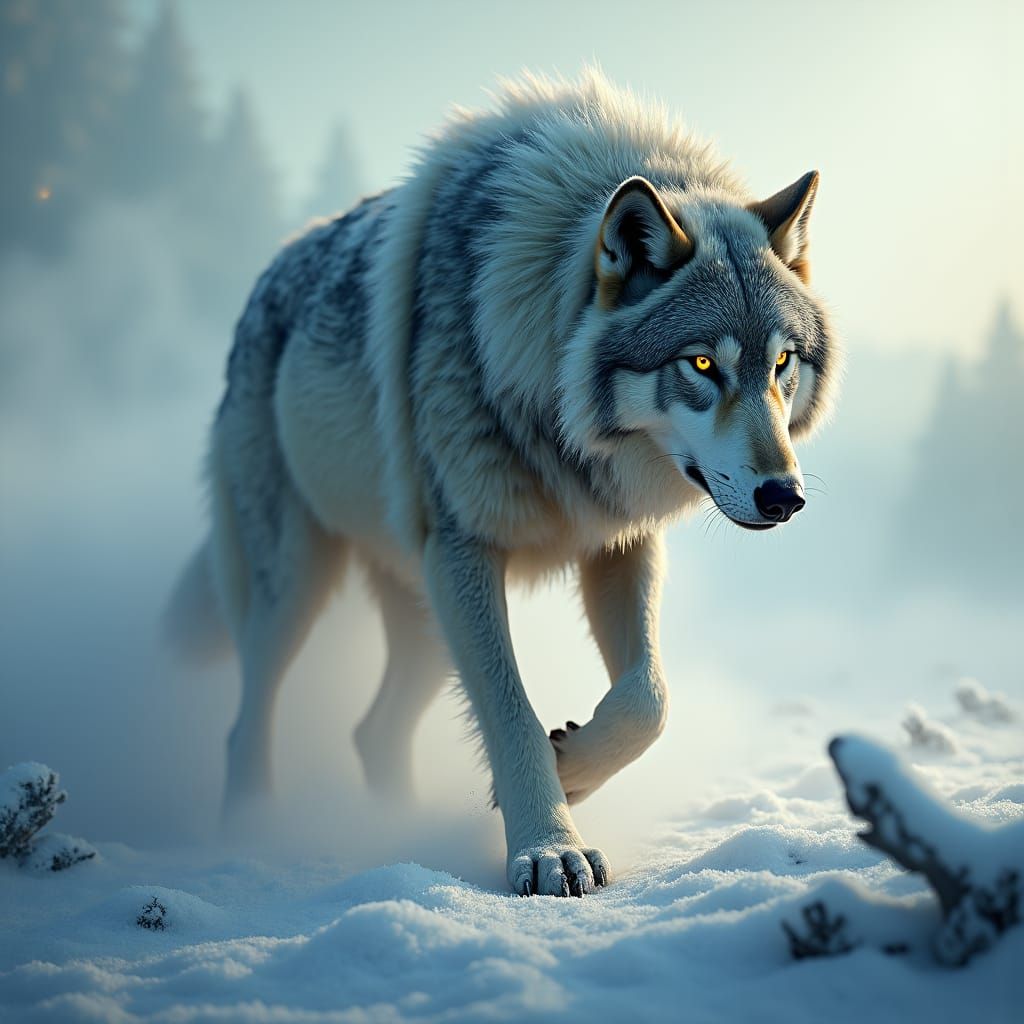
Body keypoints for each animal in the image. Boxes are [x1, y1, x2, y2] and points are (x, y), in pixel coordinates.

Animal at [167, 70, 840, 897]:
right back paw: (253, 834)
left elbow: (650, 699)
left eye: (782, 364)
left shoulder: (620, 544)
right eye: (703, 364)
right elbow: (513, 712)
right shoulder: (466, 552)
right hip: (300, 586)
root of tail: (265, 277)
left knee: (372, 733)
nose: (784, 497)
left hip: (425, 619)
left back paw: (395, 833)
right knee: (246, 725)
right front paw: (550, 850)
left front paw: (573, 763)